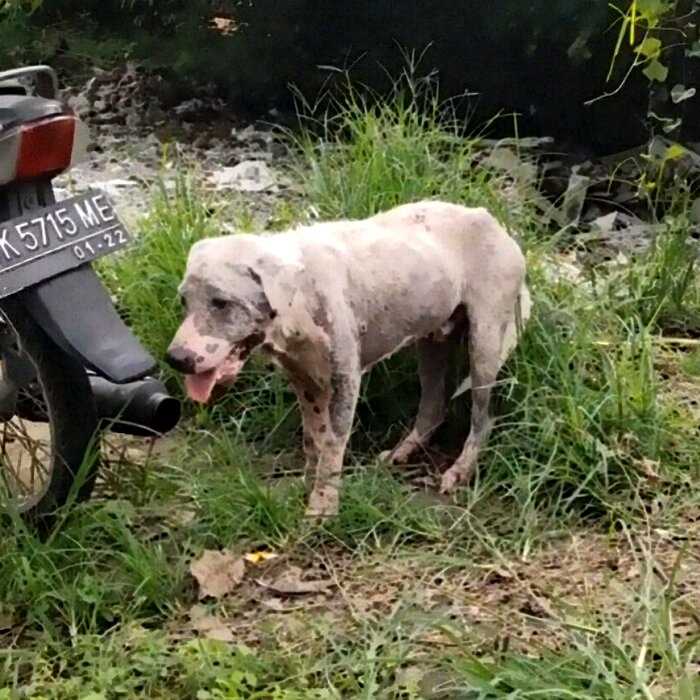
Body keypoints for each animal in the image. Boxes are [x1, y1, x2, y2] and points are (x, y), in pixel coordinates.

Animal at [165, 200, 532, 516]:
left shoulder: (346, 379)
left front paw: (323, 506)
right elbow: (313, 439)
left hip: (484, 346)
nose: (175, 359)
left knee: (483, 419)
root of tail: (494, 222)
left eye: (221, 302)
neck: (300, 291)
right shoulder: (305, 381)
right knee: (433, 407)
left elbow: (333, 443)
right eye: (184, 300)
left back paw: (460, 471)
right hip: (431, 344)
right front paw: (308, 486)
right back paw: (403, 450)